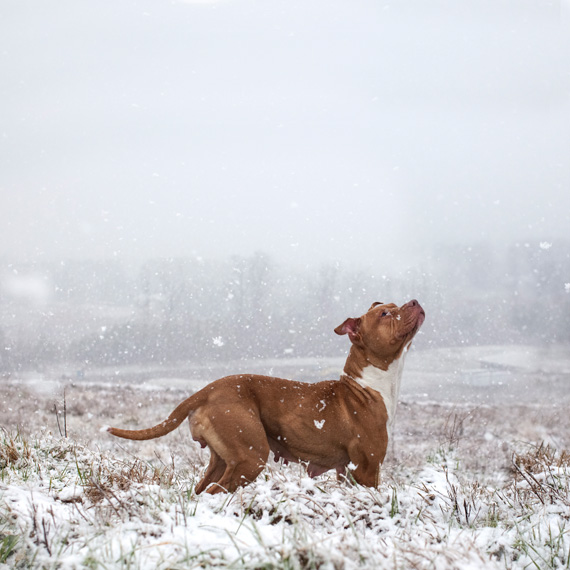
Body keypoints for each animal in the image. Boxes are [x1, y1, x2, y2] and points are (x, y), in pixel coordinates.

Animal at [108, 300, 424, 490]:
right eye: (385, 314)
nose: (415, 302)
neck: (367, 385)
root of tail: (206, 390)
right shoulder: (367, 468)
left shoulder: (346, 471)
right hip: (250, 457)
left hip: (222, 460)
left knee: (200, 490)